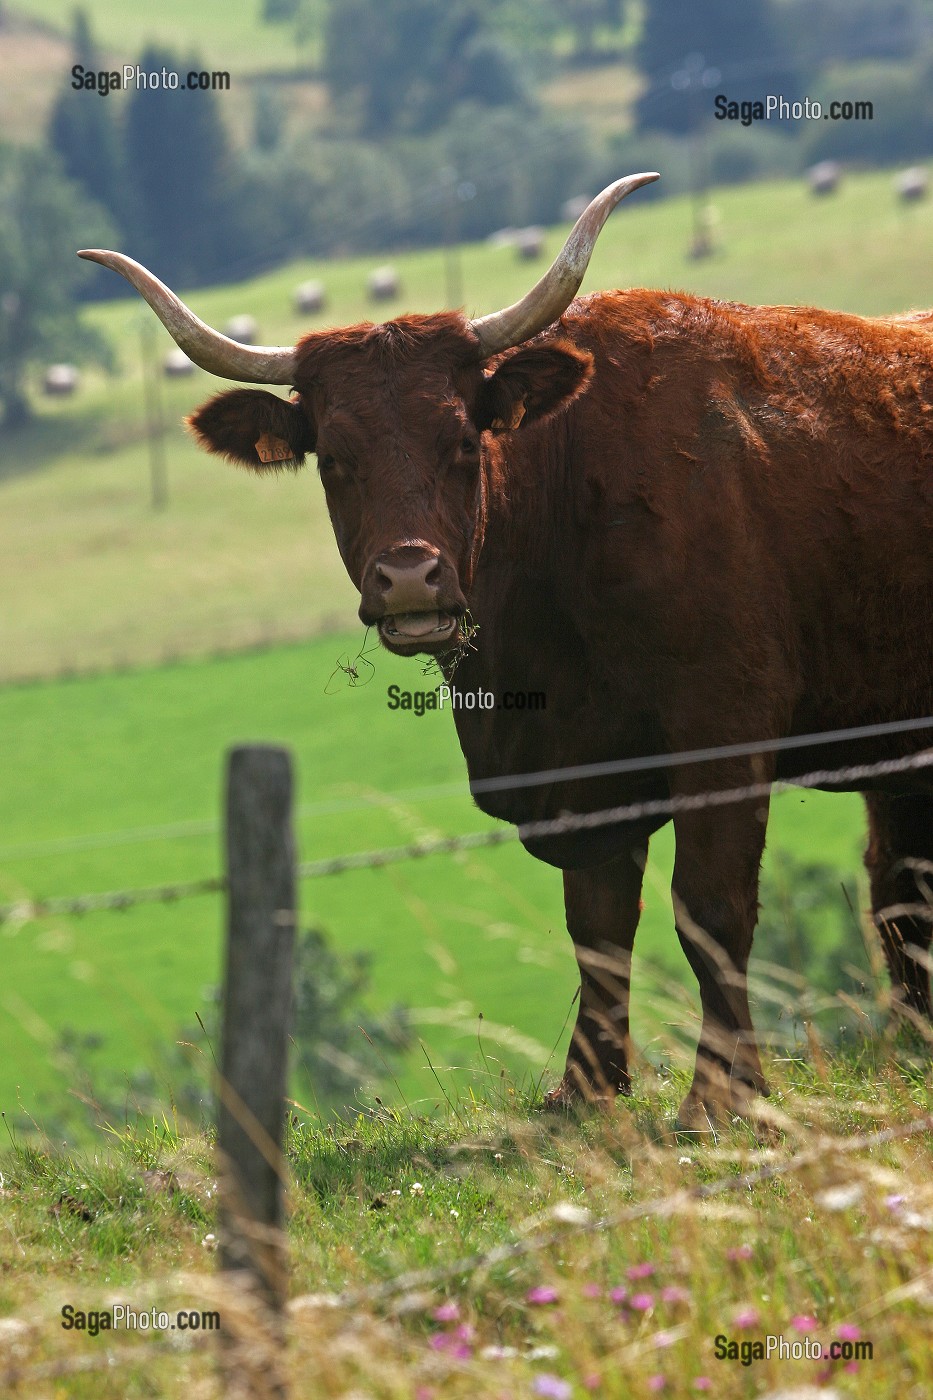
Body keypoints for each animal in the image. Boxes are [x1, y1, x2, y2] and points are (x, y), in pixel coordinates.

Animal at [79, 173, 933, 1131]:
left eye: (463, 439)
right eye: (332, 458)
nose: (408, 579)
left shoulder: (724, 720)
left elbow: (709, 908)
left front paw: (721, 1093)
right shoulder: (584, 769)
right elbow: (597, 924)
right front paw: (588, 1088)